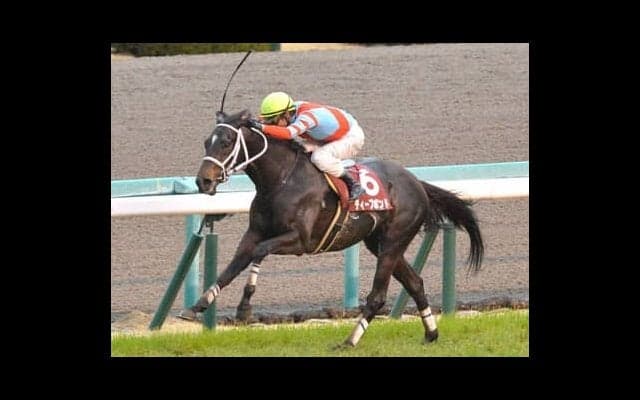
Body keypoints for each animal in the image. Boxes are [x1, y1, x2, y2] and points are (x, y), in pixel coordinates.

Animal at [177, 109, 484, 347]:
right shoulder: (254, 233)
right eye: (206, 142)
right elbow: (233, 265)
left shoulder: (300, 241)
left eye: (227, 142)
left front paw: (244, 308)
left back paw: (349, 341)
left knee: (378, 296)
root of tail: (417, 183)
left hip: (394, 240)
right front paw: (197, 306)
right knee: (415, 283)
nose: (203, 181)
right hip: (380, 244)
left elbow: (259, 252)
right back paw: (431, 334)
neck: (281, 180)